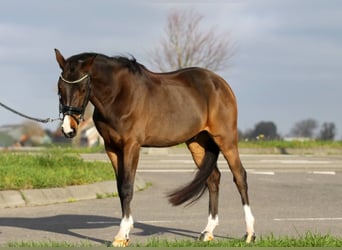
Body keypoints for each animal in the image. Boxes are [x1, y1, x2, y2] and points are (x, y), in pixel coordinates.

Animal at [54, 48, 255, 246]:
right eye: (59, 89)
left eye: (82, 88)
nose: (68, 128)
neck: (119, 95)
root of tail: (219, 83)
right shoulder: (112, 149)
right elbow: (120, 188)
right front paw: (125, 233)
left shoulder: (131, 146)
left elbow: (127, 187)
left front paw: (121, 236)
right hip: (198, 142)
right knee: (213, 178)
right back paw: (208, 232)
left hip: (226, 139)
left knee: (240, 176)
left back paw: (250, 234)